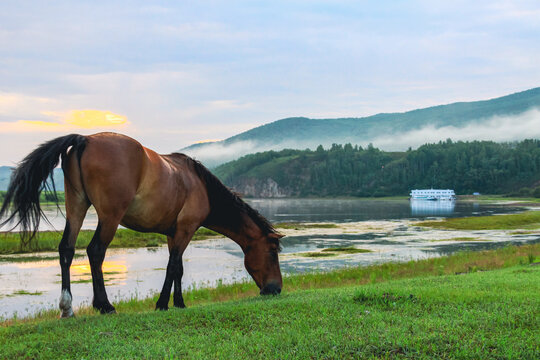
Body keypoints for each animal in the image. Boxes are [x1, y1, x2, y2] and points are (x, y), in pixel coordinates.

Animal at [0, 131, 284, 316]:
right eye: (272, 253)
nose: (276, 289)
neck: (199, 185)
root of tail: (86, 139)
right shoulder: (186, 229)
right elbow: (172, 267)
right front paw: (162, 304)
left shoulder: (173, 233)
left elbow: (178, 268)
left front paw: (179, 303)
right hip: (109, 217)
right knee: (95, 252)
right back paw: (105, 306)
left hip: (77, 207)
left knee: (67, 250)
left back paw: (67, 308)